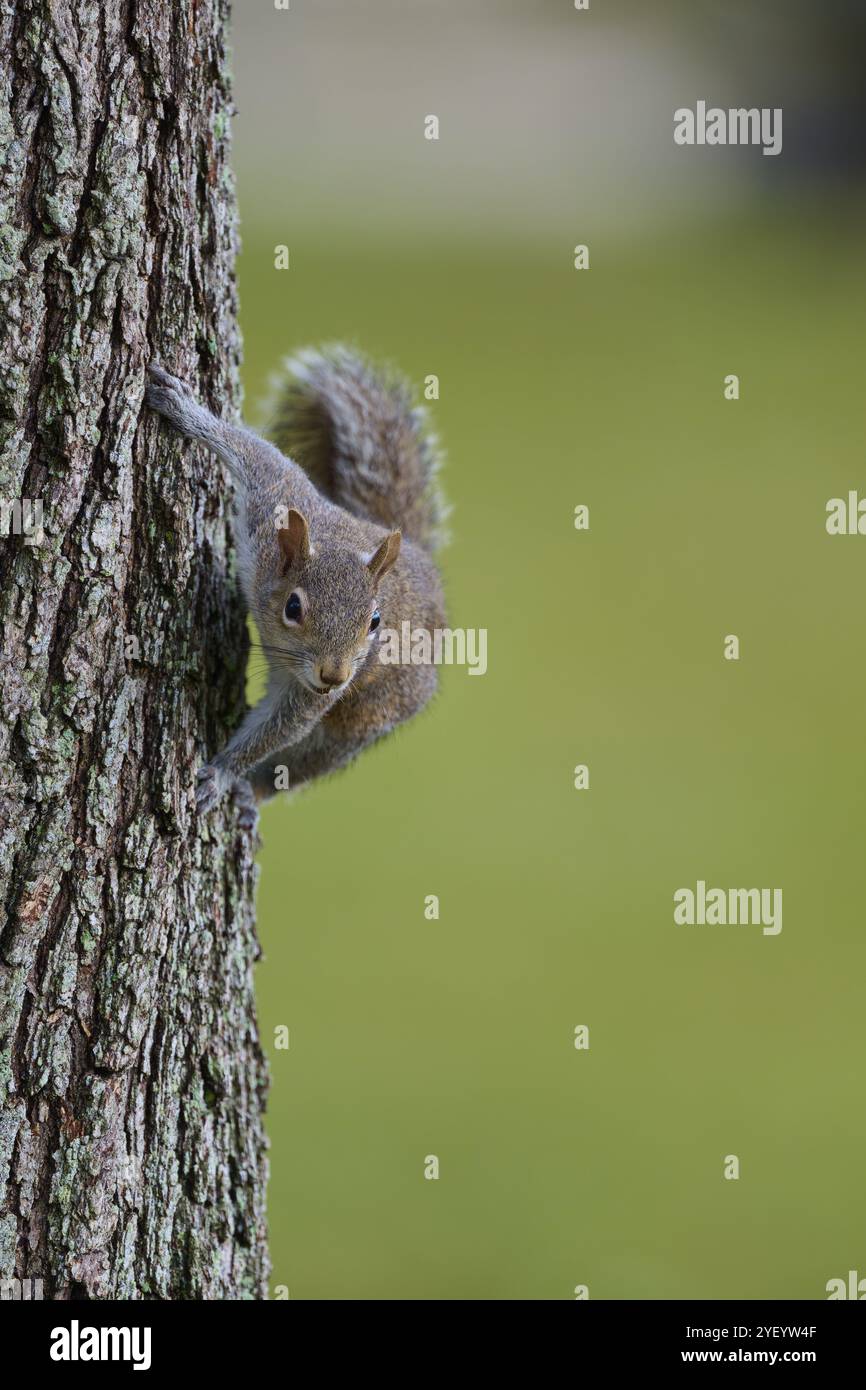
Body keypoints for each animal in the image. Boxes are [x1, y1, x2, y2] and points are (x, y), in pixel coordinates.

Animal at [144, 347, 447, 817]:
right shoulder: (275, 497)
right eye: (293, 607)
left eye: (375, 622)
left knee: (304, 763)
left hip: (365, 717)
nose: (334, 676)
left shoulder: (312, 696)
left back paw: (250, 791)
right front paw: (184, 408)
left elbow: (279, 729)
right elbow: (256, 454)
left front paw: (221, 774)